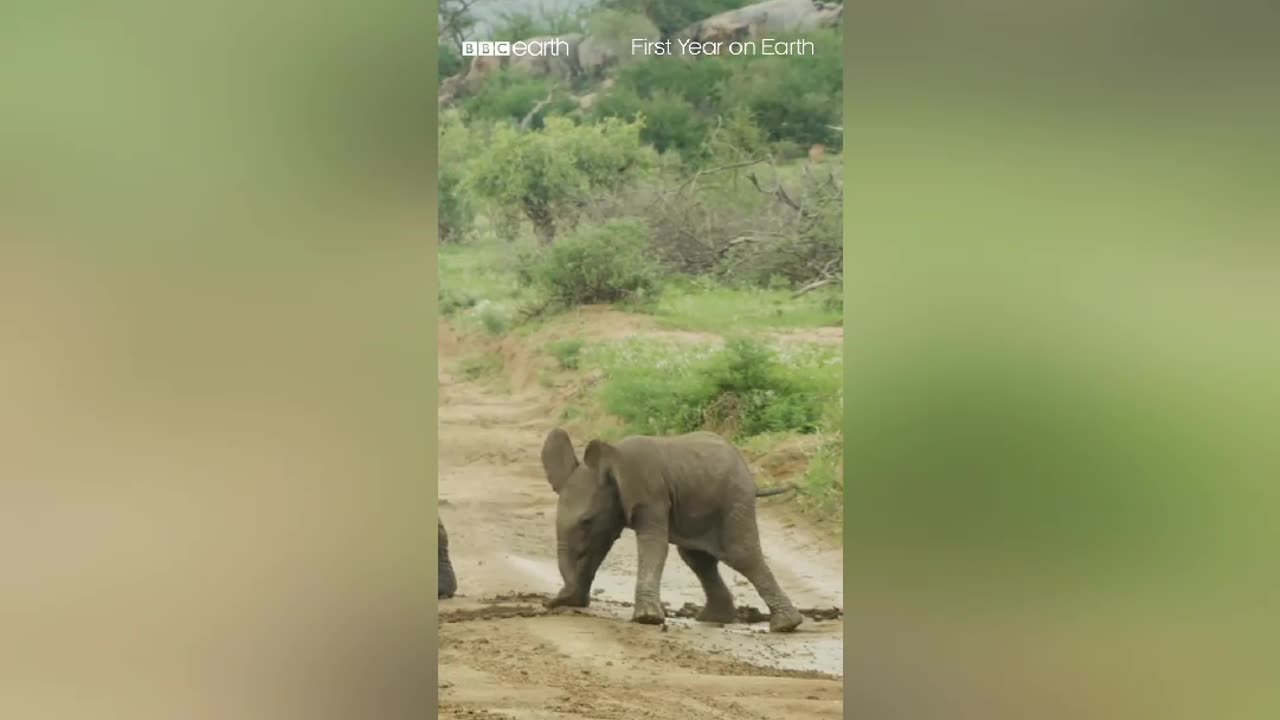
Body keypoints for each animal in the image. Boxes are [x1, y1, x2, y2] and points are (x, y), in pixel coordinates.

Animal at [537, 425, 798, 627]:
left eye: (586, 521)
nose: (548, 602)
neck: (614, 461)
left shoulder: (651, 493)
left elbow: (654, 544)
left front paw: (647, 619)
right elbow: (598, 547)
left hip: (735, 499)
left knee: (740, 554)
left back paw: (785, 625)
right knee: (697, 559)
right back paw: (713, 618)